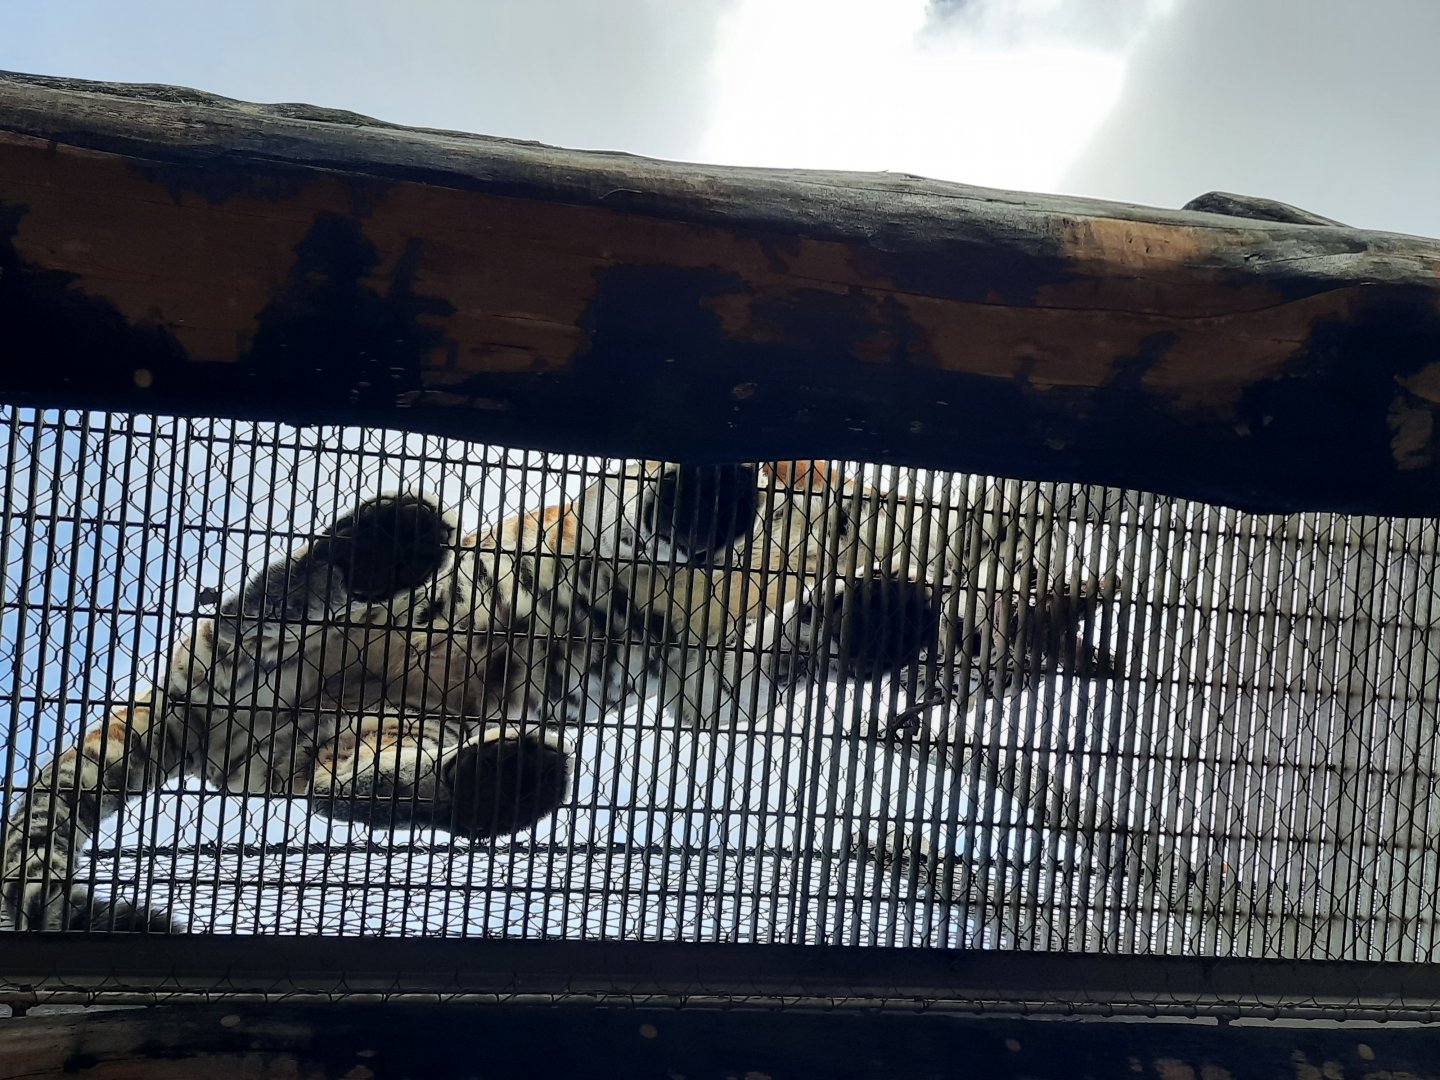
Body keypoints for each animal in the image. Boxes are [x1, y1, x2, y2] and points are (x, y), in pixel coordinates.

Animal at [1, 460, 937, 932]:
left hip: (346, 735)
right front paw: (708, 504)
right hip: (312, 637)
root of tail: (181, 709)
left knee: (365, 789)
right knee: (256, 609)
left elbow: (777, 653)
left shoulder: (703, 678)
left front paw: (872, 621)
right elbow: (644, 519)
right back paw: (382, 543)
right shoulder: (600, 540)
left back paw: (504, 782)